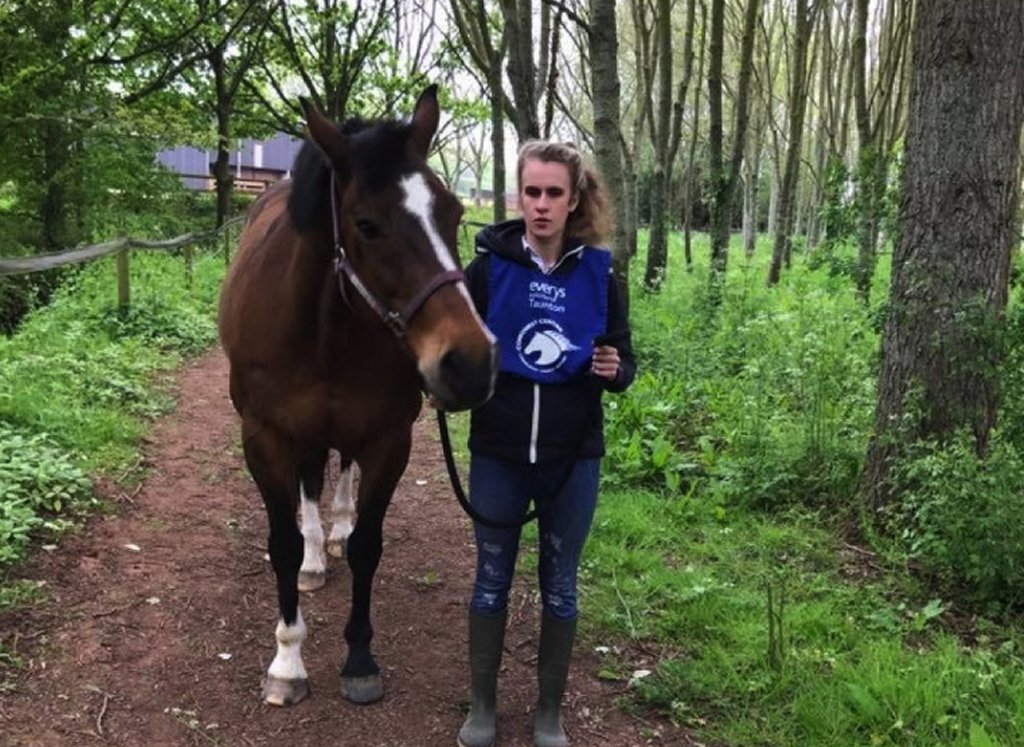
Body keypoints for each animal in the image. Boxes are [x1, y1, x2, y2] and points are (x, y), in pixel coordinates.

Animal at [218, 85, 497, 707]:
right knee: (310, 486)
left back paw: (336, 533)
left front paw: (360, 659)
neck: (324, 329)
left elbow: (369, 543)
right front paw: (287, 662)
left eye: (453, 213)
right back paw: (315, 557)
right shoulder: (264, 439)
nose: (470, 363)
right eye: (367, 225)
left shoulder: (388, 438)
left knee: (340, 472)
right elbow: (283, 542)